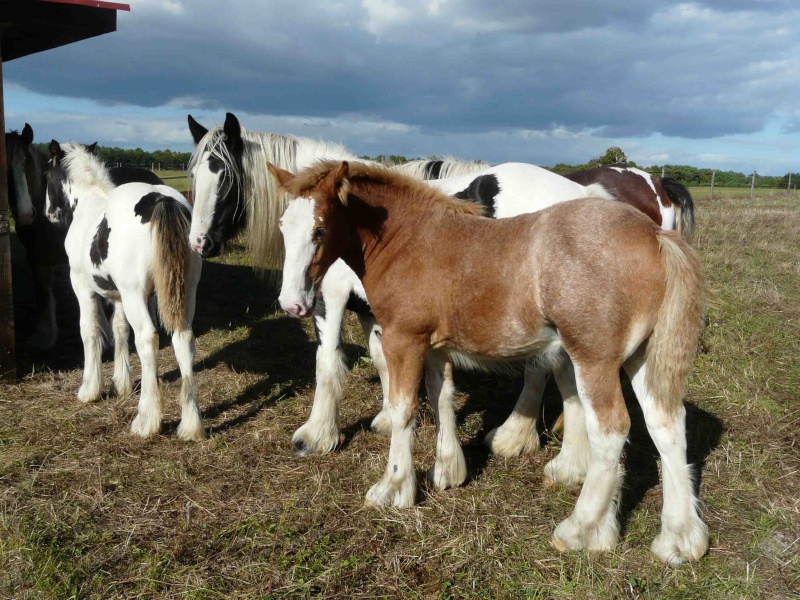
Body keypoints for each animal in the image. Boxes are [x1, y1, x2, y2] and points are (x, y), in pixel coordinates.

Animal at [5, 126, 166, 352]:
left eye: (27, 163)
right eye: (6, 170)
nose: (26, 213)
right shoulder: (36, 258)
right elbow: (43, 294)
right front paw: (45, 337)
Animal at [45, 141, 205, 440]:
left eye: (47, 173)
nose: (49, 213)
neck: (89, 203)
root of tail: (162, 201)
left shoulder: (82, 286)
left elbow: (90, 330)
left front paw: (90, 389)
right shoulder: (119, 295)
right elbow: (119, 329)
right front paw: (122, 383)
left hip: (136, 296)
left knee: (148, 339)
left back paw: (147, 421)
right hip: (185, 293)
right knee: (183, 339)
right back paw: (191, 425)